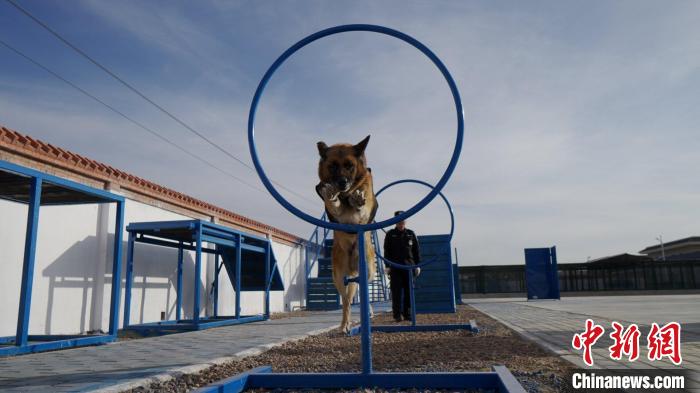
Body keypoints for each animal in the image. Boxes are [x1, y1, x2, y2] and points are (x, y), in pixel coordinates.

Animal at [316, 135, 378, 330]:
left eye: (350, 165)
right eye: (333, 166)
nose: (342, 183)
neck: (346, 194)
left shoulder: (366, 204)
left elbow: (362, 203)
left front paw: (357, 200)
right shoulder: (337, 213)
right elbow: (334, 205)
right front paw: (332, 196)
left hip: (368, 272)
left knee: (363, 294)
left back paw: (369, 313)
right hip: (338, 277)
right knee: (346, 301)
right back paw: (345, 325)